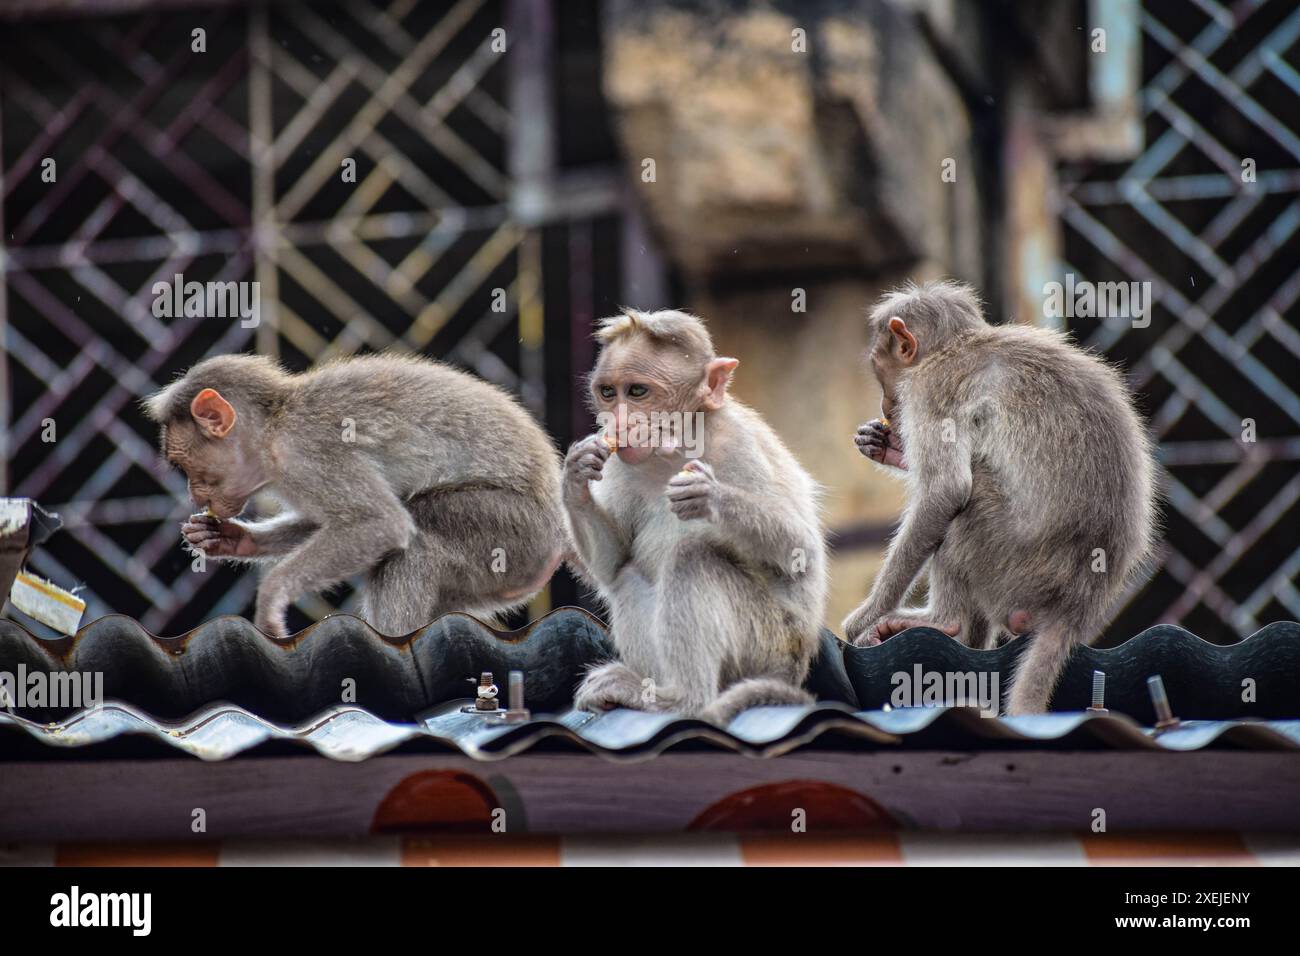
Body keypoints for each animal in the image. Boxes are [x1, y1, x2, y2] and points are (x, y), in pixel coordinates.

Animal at [144, 353, 566, 642]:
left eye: (184, 466)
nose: (192, 494)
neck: (273, 429)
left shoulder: (307, 452)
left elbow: (380, 523)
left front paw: (274, 592)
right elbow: (328, 522)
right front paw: (234, 539)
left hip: (518, 535)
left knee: (420, 532)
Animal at [564, 310, 826, 723]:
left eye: (637, 392)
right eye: (608, 392)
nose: (617, 424)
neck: (676, 446)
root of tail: (793, 669)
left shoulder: (737, 442)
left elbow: (800, 551)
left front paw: (709, 496)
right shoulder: (623, 463)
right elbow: (612, 563)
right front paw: (575, 475)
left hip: (769, 641)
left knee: (693, 558)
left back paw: (684, 700)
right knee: (628, 575)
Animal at [842, 280, 1159, 712]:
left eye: (881, 373)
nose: (886, 404)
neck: (957, 346)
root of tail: (1078, 604)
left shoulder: (930, 388)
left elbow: (946, 491)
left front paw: (866, 615)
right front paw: (887, 446)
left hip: (1012, 565)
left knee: (969, 504)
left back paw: (945, 621)